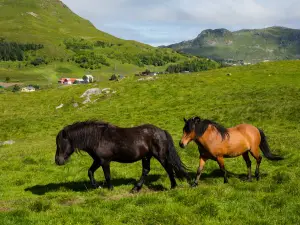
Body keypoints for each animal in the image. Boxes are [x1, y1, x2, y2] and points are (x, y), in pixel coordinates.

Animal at [55, 120, 189, 192]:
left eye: (60, 144)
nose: (57, 161)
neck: (98, 138)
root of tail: (162, 131)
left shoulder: (105, 161)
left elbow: (107, 176)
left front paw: (110, 188)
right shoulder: (98, 160)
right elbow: (90, 172)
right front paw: (96, 186)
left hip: (160, 156)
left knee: (169, 168)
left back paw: (173, 186)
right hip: (146, 157)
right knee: (146, 170)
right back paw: (136, 188)